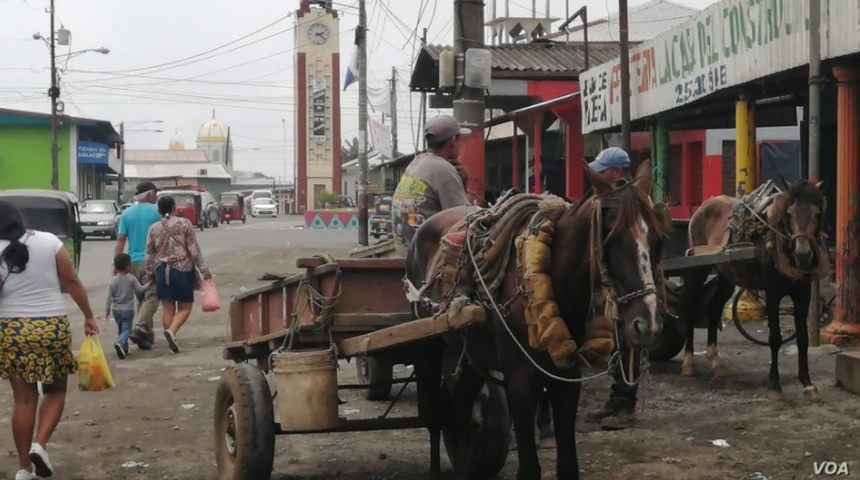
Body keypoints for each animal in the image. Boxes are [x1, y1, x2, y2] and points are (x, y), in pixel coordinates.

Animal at [406, 161, 668, 480]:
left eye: (658, 241)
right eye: (611, 238)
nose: (648, 325)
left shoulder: (568, 378)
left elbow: (568, 465)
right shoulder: (520, 382)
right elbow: (529, 468)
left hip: (469, 355)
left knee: (459, 410)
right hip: (429, 343)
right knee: (438, 412)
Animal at [680, 178, 828, 400]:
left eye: (817, 213)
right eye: (790, 213)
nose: (803, 254)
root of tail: (704, 205)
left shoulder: (803, 292)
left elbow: (802, 337)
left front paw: (808, 383)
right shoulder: (773, 293)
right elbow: (775, 338)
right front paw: (774, 384)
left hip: (726, 274)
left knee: (715, 307)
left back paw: (715, 360)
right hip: (698, 268)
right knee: (691, 306)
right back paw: (688, 362)